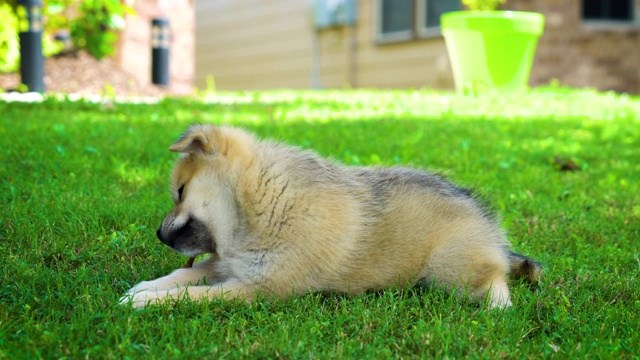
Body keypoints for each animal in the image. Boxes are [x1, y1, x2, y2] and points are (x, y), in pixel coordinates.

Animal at [121, 125, 540, 308]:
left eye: (180, 191)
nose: (158, 234)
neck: (261, 204)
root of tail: (491, 232)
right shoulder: (229, 266)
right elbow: (182, 276)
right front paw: (142, 288)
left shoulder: (257, 287)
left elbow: (192, 296)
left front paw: (148, 302)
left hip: (450, 268)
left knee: (495, 280)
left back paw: (496, 306)